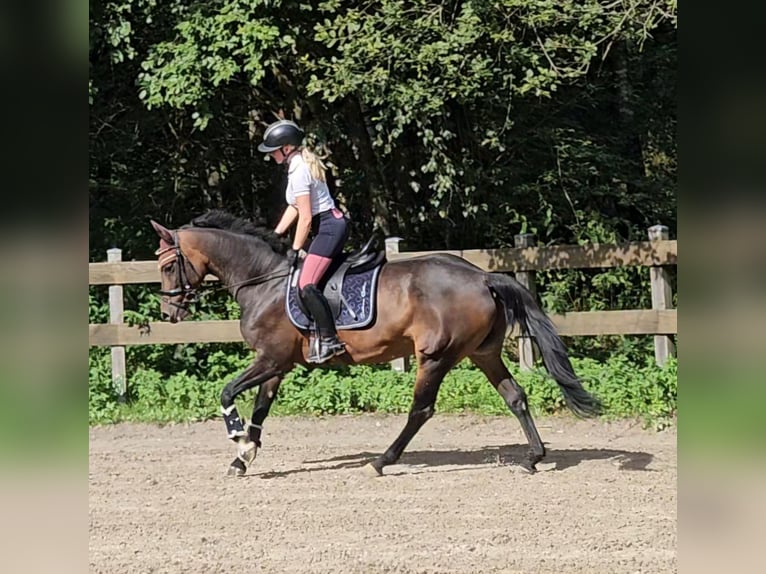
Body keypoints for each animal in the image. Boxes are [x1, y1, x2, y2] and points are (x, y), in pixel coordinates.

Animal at [150, 210, 600, 477]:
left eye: (169, 265)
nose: (169, 312)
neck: (265, 280)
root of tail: (482, 276)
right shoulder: (276, 363)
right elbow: (261, 407)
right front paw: (244, 456)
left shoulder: (271, 359)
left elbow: (227, 392)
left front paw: (237, 439)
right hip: (482, 353)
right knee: (515, 396)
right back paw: (533, 457)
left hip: (435, 356)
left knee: (421, 410)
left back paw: (382, 461)